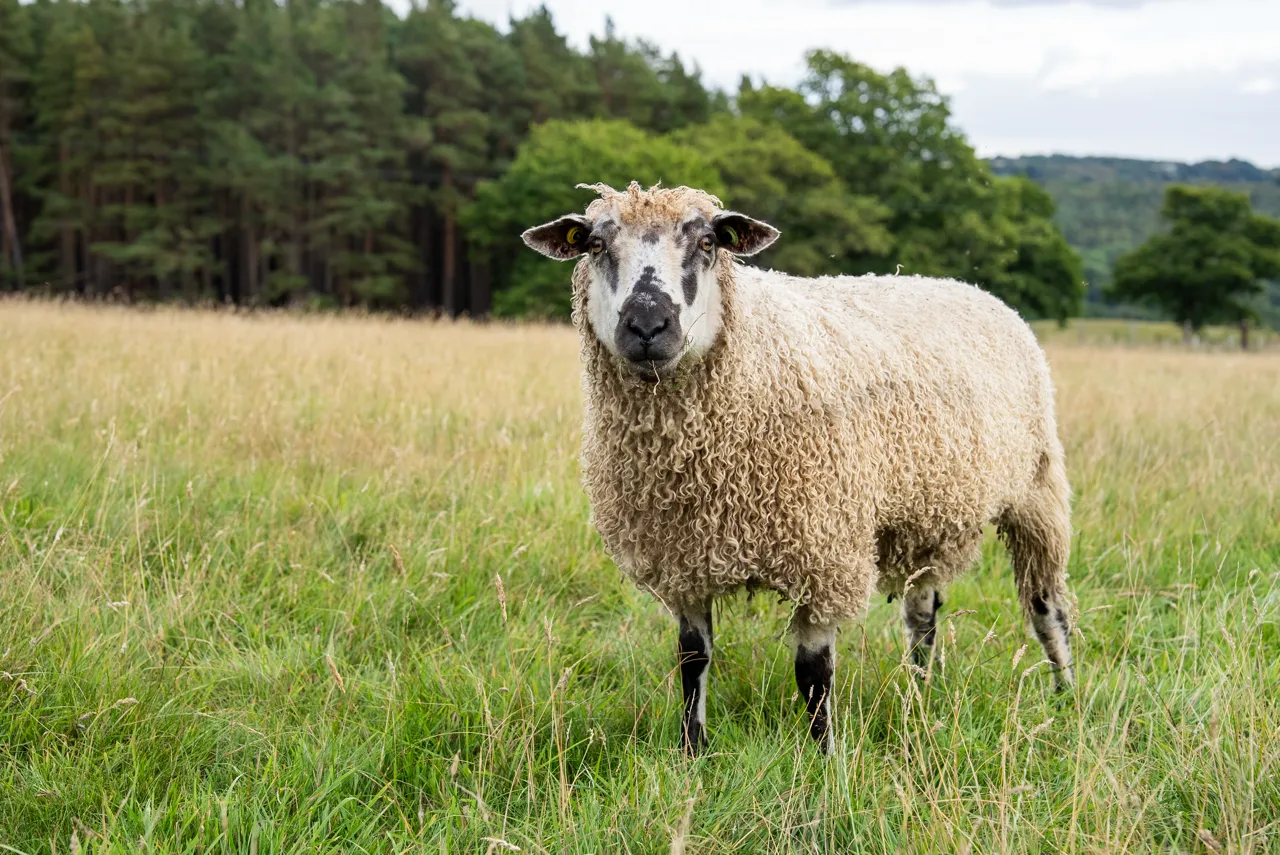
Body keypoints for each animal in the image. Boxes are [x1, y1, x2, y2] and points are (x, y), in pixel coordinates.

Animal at [522, 182, 1075, 755]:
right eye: (594, 244)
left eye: (707, 242)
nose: (648, 325)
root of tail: (974, 289)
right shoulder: (684, 557)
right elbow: (692, 660)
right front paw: (692, 752)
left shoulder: (822, 551)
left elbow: (813, 674)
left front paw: (825, 756)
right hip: (926, 513)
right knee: (923, 616)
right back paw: (921, 693)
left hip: (1038, 489)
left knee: (1046, 607)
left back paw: (1065, 695)